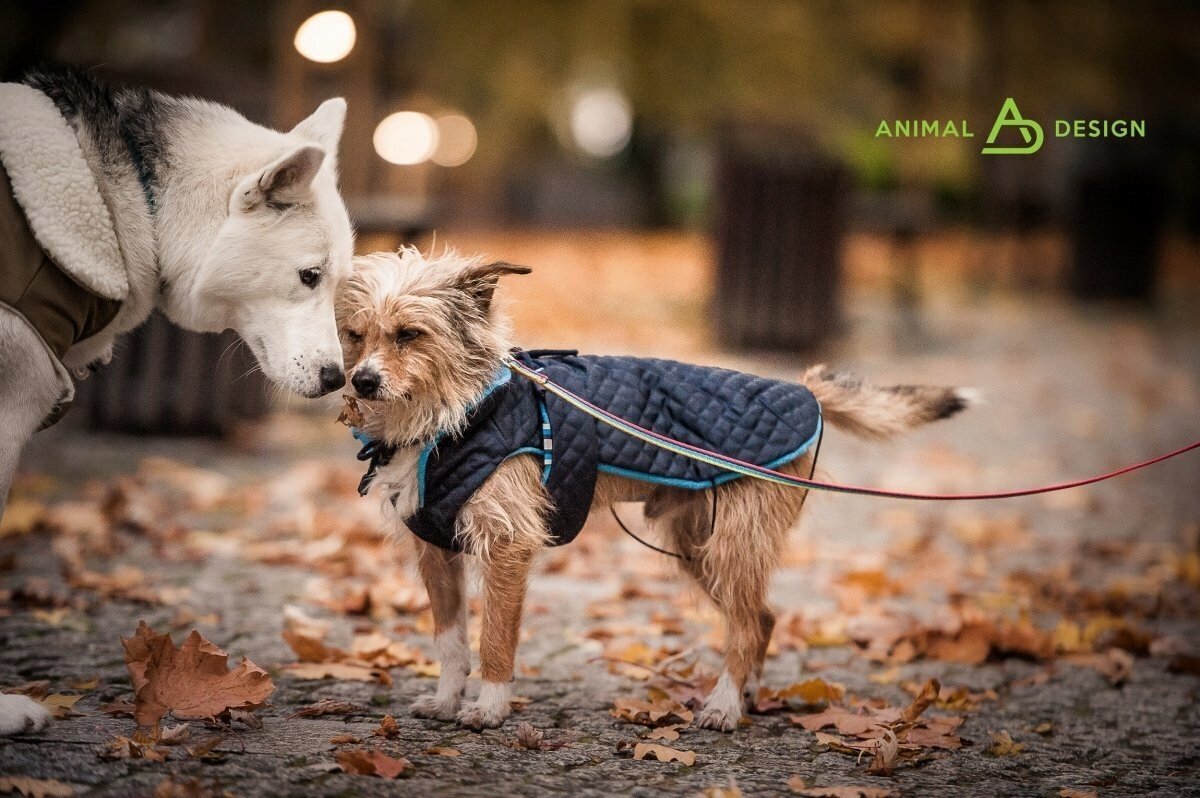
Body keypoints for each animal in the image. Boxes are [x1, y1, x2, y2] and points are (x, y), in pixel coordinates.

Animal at [336, 249, 964, 729]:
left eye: (410, 335)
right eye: (354, 335)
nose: (360, 380)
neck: (455, 416)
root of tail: (803, 392)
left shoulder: (508, 547)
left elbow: (493, 638)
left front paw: (489, 708)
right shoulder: (435, 550)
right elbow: (449, 639)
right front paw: (446, 701)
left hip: (730, 546)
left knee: (744, 627)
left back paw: (724, 706)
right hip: (697, 548)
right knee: (762, 619)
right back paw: (745, 696)